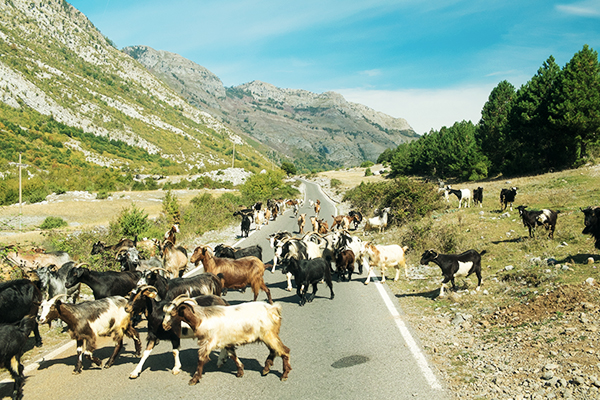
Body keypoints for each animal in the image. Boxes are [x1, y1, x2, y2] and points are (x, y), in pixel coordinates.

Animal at [159, 296, 290, 384]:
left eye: (173, 313)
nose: (164, 326)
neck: (201, 319)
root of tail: (274, 308)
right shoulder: (227, 341)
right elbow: (233, 356)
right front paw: (240, 372)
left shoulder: (209, 342)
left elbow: (201, 359)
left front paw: (194, 379)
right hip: (266, 336)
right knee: (274, 351)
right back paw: (266, 369)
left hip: (269, 335)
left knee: (284, 351)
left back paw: (284, 375)